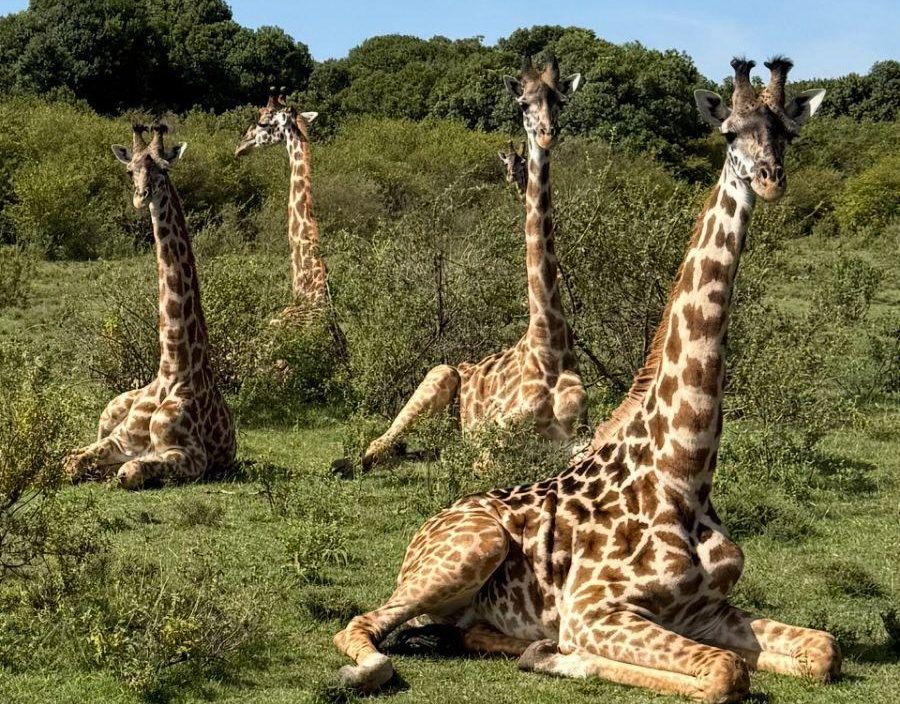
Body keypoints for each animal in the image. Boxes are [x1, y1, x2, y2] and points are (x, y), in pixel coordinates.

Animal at [65, 124, 236, 490]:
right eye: (131, 170)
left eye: (164, 169)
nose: (141, 197)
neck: (173, 368)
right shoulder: (117, 439)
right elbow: (69, 462)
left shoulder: (191, 457)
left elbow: (127, 472)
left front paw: (106, 473)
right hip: (108, 412)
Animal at [361, 55, 587, 470]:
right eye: (523, 104)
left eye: (560, 101)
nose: (546, 134)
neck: (549, 346)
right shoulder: (488, 442)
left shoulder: (580, 436)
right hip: (439, 373)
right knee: (378, 443)